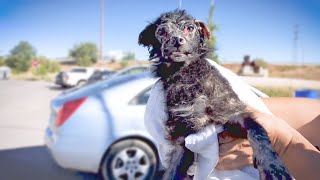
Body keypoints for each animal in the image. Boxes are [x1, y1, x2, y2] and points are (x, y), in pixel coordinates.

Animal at [138, 9, 292, 180]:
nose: (177, 40)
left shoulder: (234, 112)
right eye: (162, 31)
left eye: (189, 28)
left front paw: (273, 168)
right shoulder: (183, 136)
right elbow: (173, 171)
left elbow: (257, 132)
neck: (186, 76)